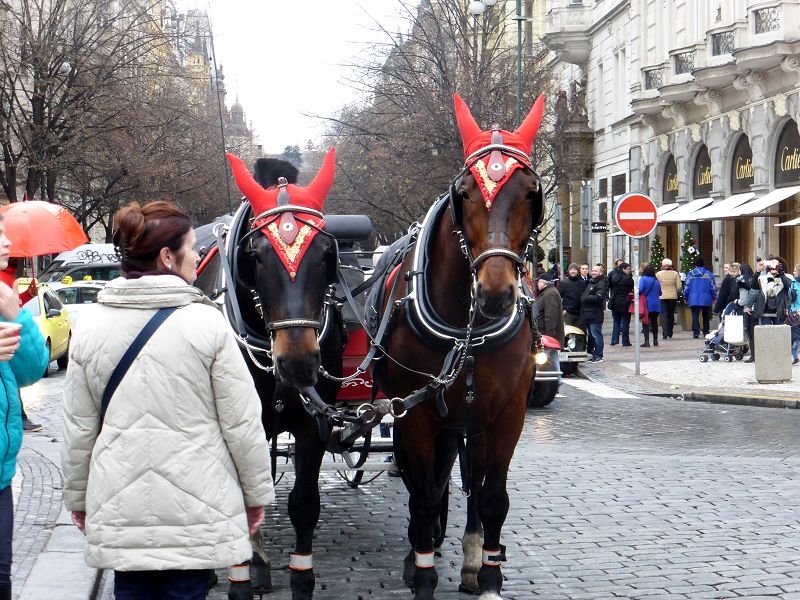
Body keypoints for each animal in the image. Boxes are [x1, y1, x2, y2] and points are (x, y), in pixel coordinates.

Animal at [197, 151, 362, 600]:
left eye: (325, 252)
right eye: (255, 255)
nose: (298, 362)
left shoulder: (314, 421)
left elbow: (304, 504)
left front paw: (300, 578)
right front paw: (243, 576)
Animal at [372, 95, 548, 600]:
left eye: (530, 193)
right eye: (466, 192)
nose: (495, 293)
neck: (465, 330)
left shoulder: (508, 413)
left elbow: (492, 497)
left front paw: (488, 574)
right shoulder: (414, 412)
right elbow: (424, 495)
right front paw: (423, 574)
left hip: (471, 419)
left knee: (468, 477)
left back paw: (471, 557)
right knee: (428, 481)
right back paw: (423, 548)